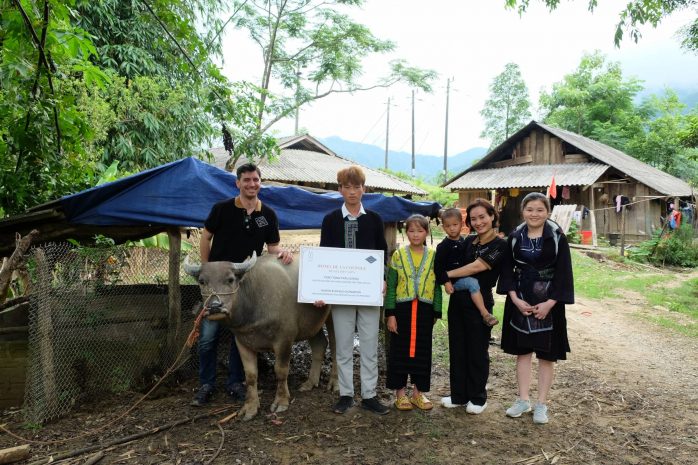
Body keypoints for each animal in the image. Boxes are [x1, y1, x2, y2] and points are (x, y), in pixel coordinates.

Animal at [184, 252, 336, 418]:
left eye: (230, 279)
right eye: (202, 281)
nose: (215, 306)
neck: (254, 300)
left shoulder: (284, 339)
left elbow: (281, 371)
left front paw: (281, 401)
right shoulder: (242, 341)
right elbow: (250, 375)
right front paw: (250, 407)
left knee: (336, 348)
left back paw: (335, 384)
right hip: (311, 323)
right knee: (320, 345)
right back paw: (310, 382)